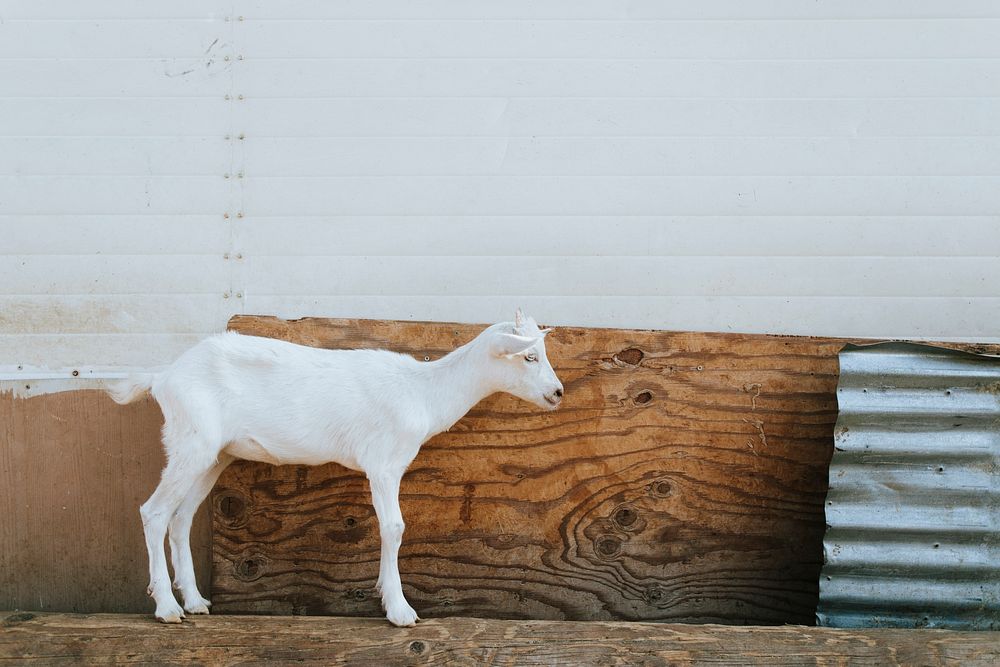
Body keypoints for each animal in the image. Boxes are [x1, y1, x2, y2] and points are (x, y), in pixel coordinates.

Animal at [109, 310, 563, 627]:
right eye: (529, 355)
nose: (558, 392)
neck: (422, 390)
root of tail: (164, 377)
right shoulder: (384, 464)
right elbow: (394, 528)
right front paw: (399, 610)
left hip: (211, 455)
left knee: (180, 518)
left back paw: (195, 601)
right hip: (192, 442)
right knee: (154, 512)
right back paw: (167, 607)